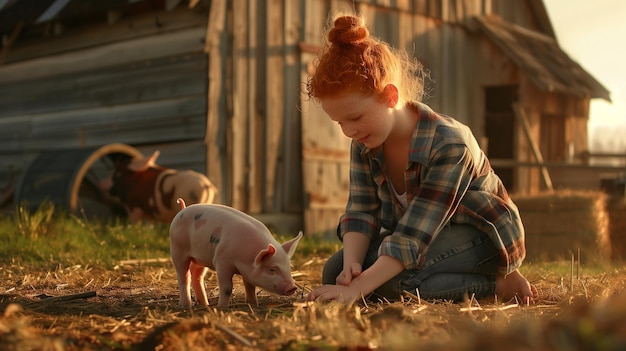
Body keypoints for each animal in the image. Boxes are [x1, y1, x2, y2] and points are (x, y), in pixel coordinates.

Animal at [168, 201, 300, 308]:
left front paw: (253, 304)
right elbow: (227, 288)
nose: (292, 287)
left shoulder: (247, 271)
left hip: (200, 258)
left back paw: (205, 304)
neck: (246, 260)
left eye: (288, 268)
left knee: (197, 275)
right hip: (178, 250)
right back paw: (186, 305)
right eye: (272, 269)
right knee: (184, 277)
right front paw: (222, 307)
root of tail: (183, 209)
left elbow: (250, 287)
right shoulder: (222, 261)